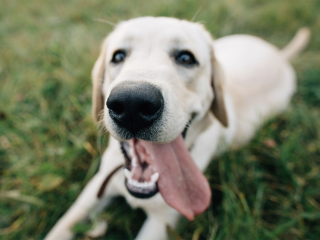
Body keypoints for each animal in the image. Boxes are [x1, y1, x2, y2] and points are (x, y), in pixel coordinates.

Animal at [45, 16, 310, 240]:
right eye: (118, 56)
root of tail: (279, 54)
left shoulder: (161, 223)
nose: (132, 104)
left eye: (185, 58)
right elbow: (63, 225)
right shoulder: (97, 186)